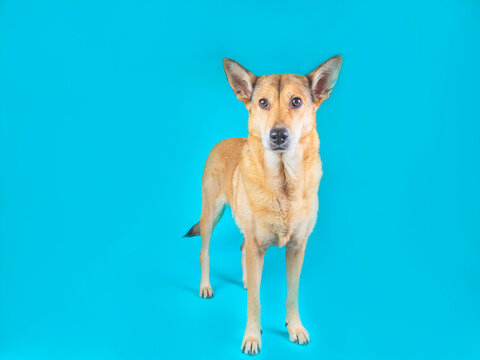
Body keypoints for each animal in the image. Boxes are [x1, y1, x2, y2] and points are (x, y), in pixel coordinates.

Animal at [184, 55, 342, 354]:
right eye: (263, 102)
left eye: (296, 102)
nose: (278, 135)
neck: (283, 183)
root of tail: (223, 141)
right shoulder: (257, 245)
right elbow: (255, 303)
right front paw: (252, 337)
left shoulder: (296, 248)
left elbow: (292, 294)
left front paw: (295, 328)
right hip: (211, 214)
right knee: (204, 251)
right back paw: (206, 286)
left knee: (242, 249)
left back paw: (248, 280)